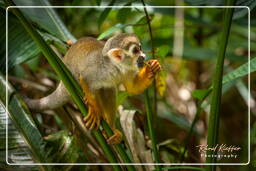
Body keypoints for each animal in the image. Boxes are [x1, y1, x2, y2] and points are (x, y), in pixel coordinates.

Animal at [25, 33, 160, 144]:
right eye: (135, 50)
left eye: (140, 48)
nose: (143, 56)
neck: (115, 67)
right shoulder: (97, 70)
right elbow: (85, 78)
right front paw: (95, 110)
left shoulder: (128, 69)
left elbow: (133, 88)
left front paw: (152, 68)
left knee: (109, 90)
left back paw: (111, 128)